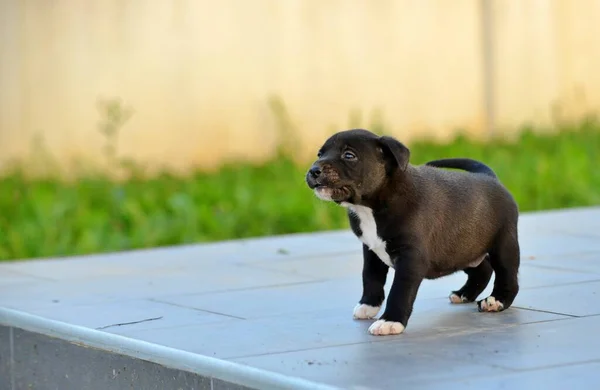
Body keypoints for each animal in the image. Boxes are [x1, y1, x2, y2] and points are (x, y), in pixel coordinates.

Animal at [304, 129, 520, 336]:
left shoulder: (410, 259)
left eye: (349, 155)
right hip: (461, 248)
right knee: (483, 268)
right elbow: (370, 277)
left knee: (507, 275)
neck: (372, 205)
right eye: (320, 154)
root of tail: (489, 176)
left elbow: (399, 290)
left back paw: (496, 301)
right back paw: (464, 293)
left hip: (503, 245)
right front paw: (368, 305)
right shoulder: (371, 251)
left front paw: (390, 321)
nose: (314, 170)